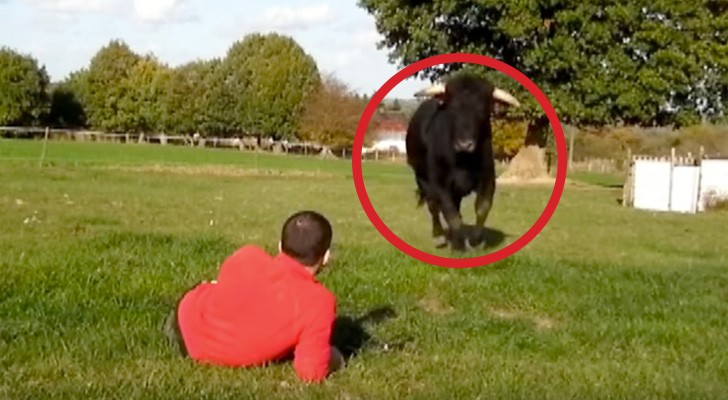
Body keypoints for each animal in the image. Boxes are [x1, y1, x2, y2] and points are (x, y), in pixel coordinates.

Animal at [406, 73, 520, 252]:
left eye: (482, 111)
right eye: (452, 110)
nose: (464, 144)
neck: (464, 161)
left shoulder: (488, 180)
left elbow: (482, 208)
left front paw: (475, 241)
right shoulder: (440, 185)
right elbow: (450, 214)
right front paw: (459, 247)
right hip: (421, 178)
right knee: (433, 206)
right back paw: (439, 234)